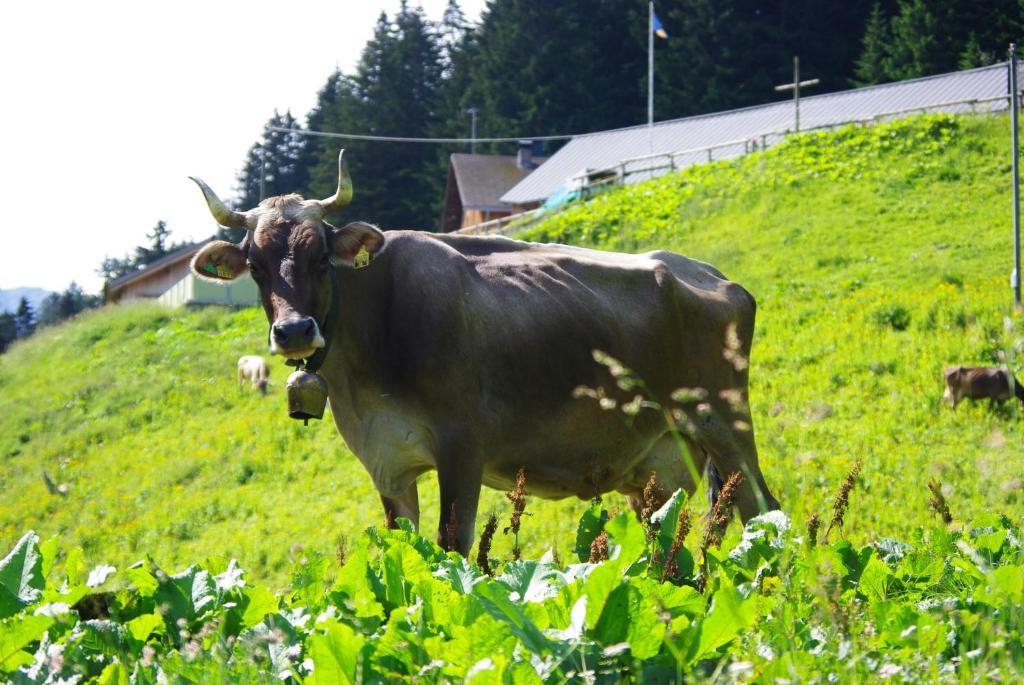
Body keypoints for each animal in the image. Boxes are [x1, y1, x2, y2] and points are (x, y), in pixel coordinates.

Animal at [188, 150, 778, 557]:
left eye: (318, 256)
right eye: (256, 266)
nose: (293, 332)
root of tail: (704, 271)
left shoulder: (462, 447)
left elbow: (453, 546)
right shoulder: (388, 463)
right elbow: (406, 547)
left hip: (724, 424)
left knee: (761, 510)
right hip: (664, 459)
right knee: (676, 530)